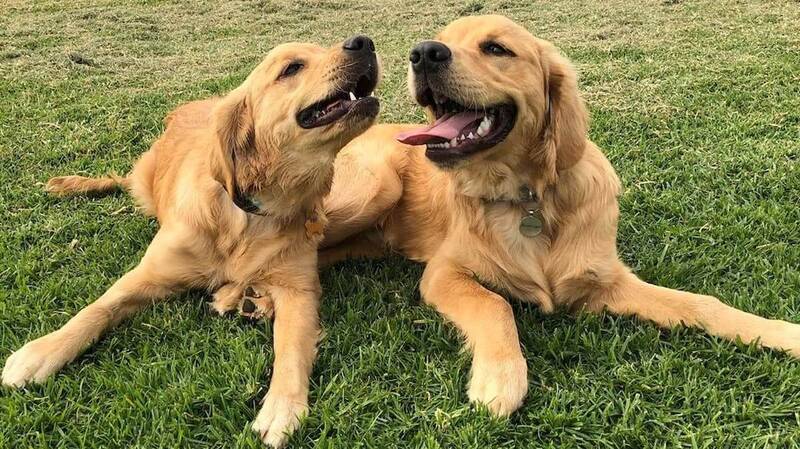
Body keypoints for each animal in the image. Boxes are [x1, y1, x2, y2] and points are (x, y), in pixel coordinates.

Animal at [1, 36, 382, 446]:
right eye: (292, 68)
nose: (363, 42)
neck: (250, 215)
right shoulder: (149, 273)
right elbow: (96, 309)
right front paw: (41, 352)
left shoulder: (299, 289)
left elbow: (292, 348)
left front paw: (283, 407)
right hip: (143, 184)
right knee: (122, 179)